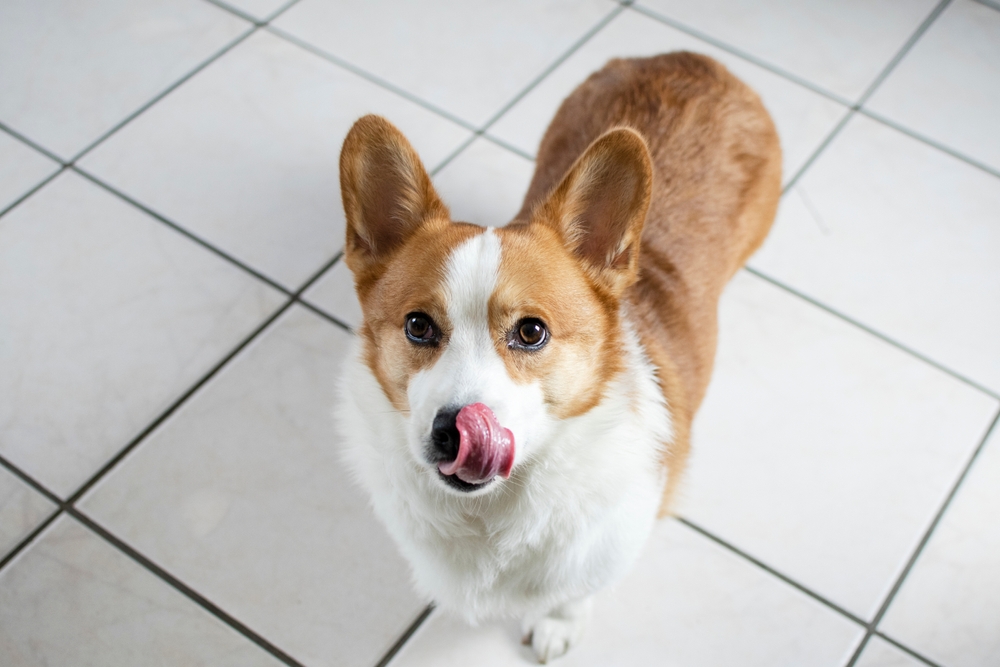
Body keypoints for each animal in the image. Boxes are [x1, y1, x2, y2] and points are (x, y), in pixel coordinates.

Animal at [336, 52, 780, 664]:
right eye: (418, 326)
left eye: (532, 332)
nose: (453, 433)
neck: (502, 506)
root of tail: (694, 59)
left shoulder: (608, 546)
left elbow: (575, 591)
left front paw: (557, 625)